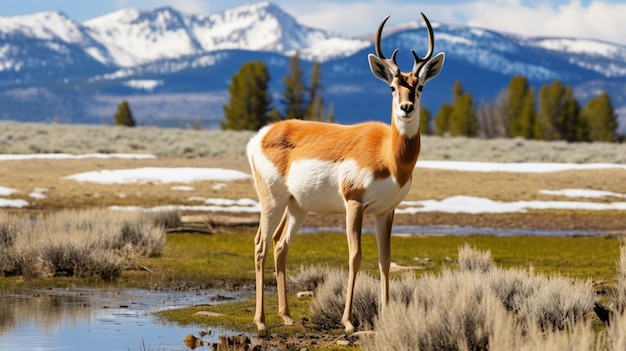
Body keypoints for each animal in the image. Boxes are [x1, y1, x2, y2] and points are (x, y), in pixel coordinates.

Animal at [245, 13, 444, 332]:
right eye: (392, 86)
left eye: (420, 86)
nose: (406, 107)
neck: (389, 155)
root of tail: (262, 135)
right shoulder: (354, 204)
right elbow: (355, 256)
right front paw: (349, 321)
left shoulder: (385, 210)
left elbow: (385, 259)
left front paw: (387, 314)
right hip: (272, 201)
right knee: (261, 244)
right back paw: (261, 322)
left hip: (297, 206)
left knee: (279, 244)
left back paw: (286, 317)